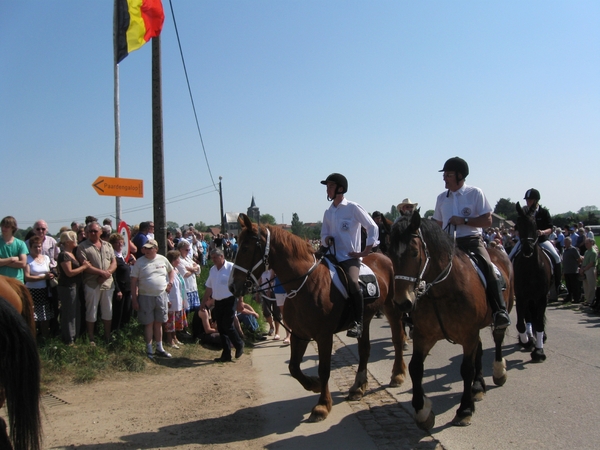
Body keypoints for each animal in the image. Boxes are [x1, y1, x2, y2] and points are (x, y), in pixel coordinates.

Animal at [230, 214, 408, 422]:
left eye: (245, 248)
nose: (232, 286)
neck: (305, 283)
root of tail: (384, 256)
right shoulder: (299, 334)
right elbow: (294, 367)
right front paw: (313, 384)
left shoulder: (324, 336)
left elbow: (324, 369)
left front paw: (322, 405)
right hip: (365, 319)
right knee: (364, 350)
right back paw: (358, 387)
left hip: (392, 308)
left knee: (397, 339)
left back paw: (397, 375)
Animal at [390, 211, 516, 428]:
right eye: (390, 253)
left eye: (414, 253)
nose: (402, 303)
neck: (442, 289)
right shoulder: (425, 335)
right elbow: (416, 368)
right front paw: (422, 410)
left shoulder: (468, 335)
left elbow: (466, 369)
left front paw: (464, 410)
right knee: (479, 351)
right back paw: (477, 386)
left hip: (500, 314)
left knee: (497, 339)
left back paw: (499, 372)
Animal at [512, 203, 552, 362]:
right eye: (518, 225)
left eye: (535, 224)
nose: (527, 249)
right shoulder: (521, 297)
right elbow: (520, 324)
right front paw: (526, 341)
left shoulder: (542, 297)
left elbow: (539, 323)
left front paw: (539, 352)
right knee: (529, 317)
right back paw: (529, 337)